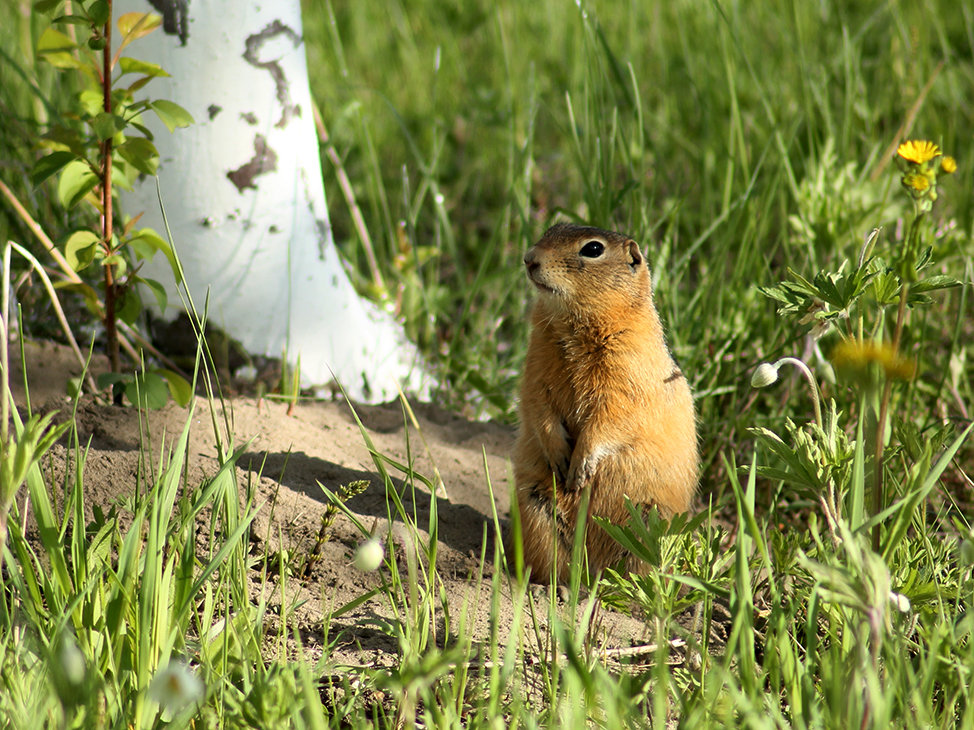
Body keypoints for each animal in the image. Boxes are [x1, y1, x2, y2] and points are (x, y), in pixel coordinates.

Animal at [510, 220, 700, 580]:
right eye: (552, 227)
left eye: (593, 249)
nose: (528, 258)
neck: (574, 325)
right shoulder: (535, 367)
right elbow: (537, 405)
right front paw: (560, 457)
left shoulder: (627, 376)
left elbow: (610, 419)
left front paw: (580, 466)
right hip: (537, 508)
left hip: (652, 522)